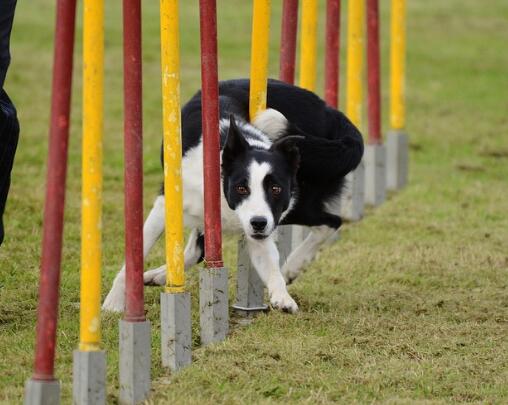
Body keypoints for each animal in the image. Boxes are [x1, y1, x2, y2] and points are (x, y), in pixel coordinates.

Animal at [103, 78, 363, 314]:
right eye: (241, 188)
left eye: (275, 189)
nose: (258, 223)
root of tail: (330, 112)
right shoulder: (166, 206)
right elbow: (136, 255)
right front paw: (114, 303)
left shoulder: (262, 226)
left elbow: (270, 266)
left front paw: (282, 296)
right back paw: (158, 275)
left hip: (293, 203)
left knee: (332, 221)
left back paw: (291, 267)